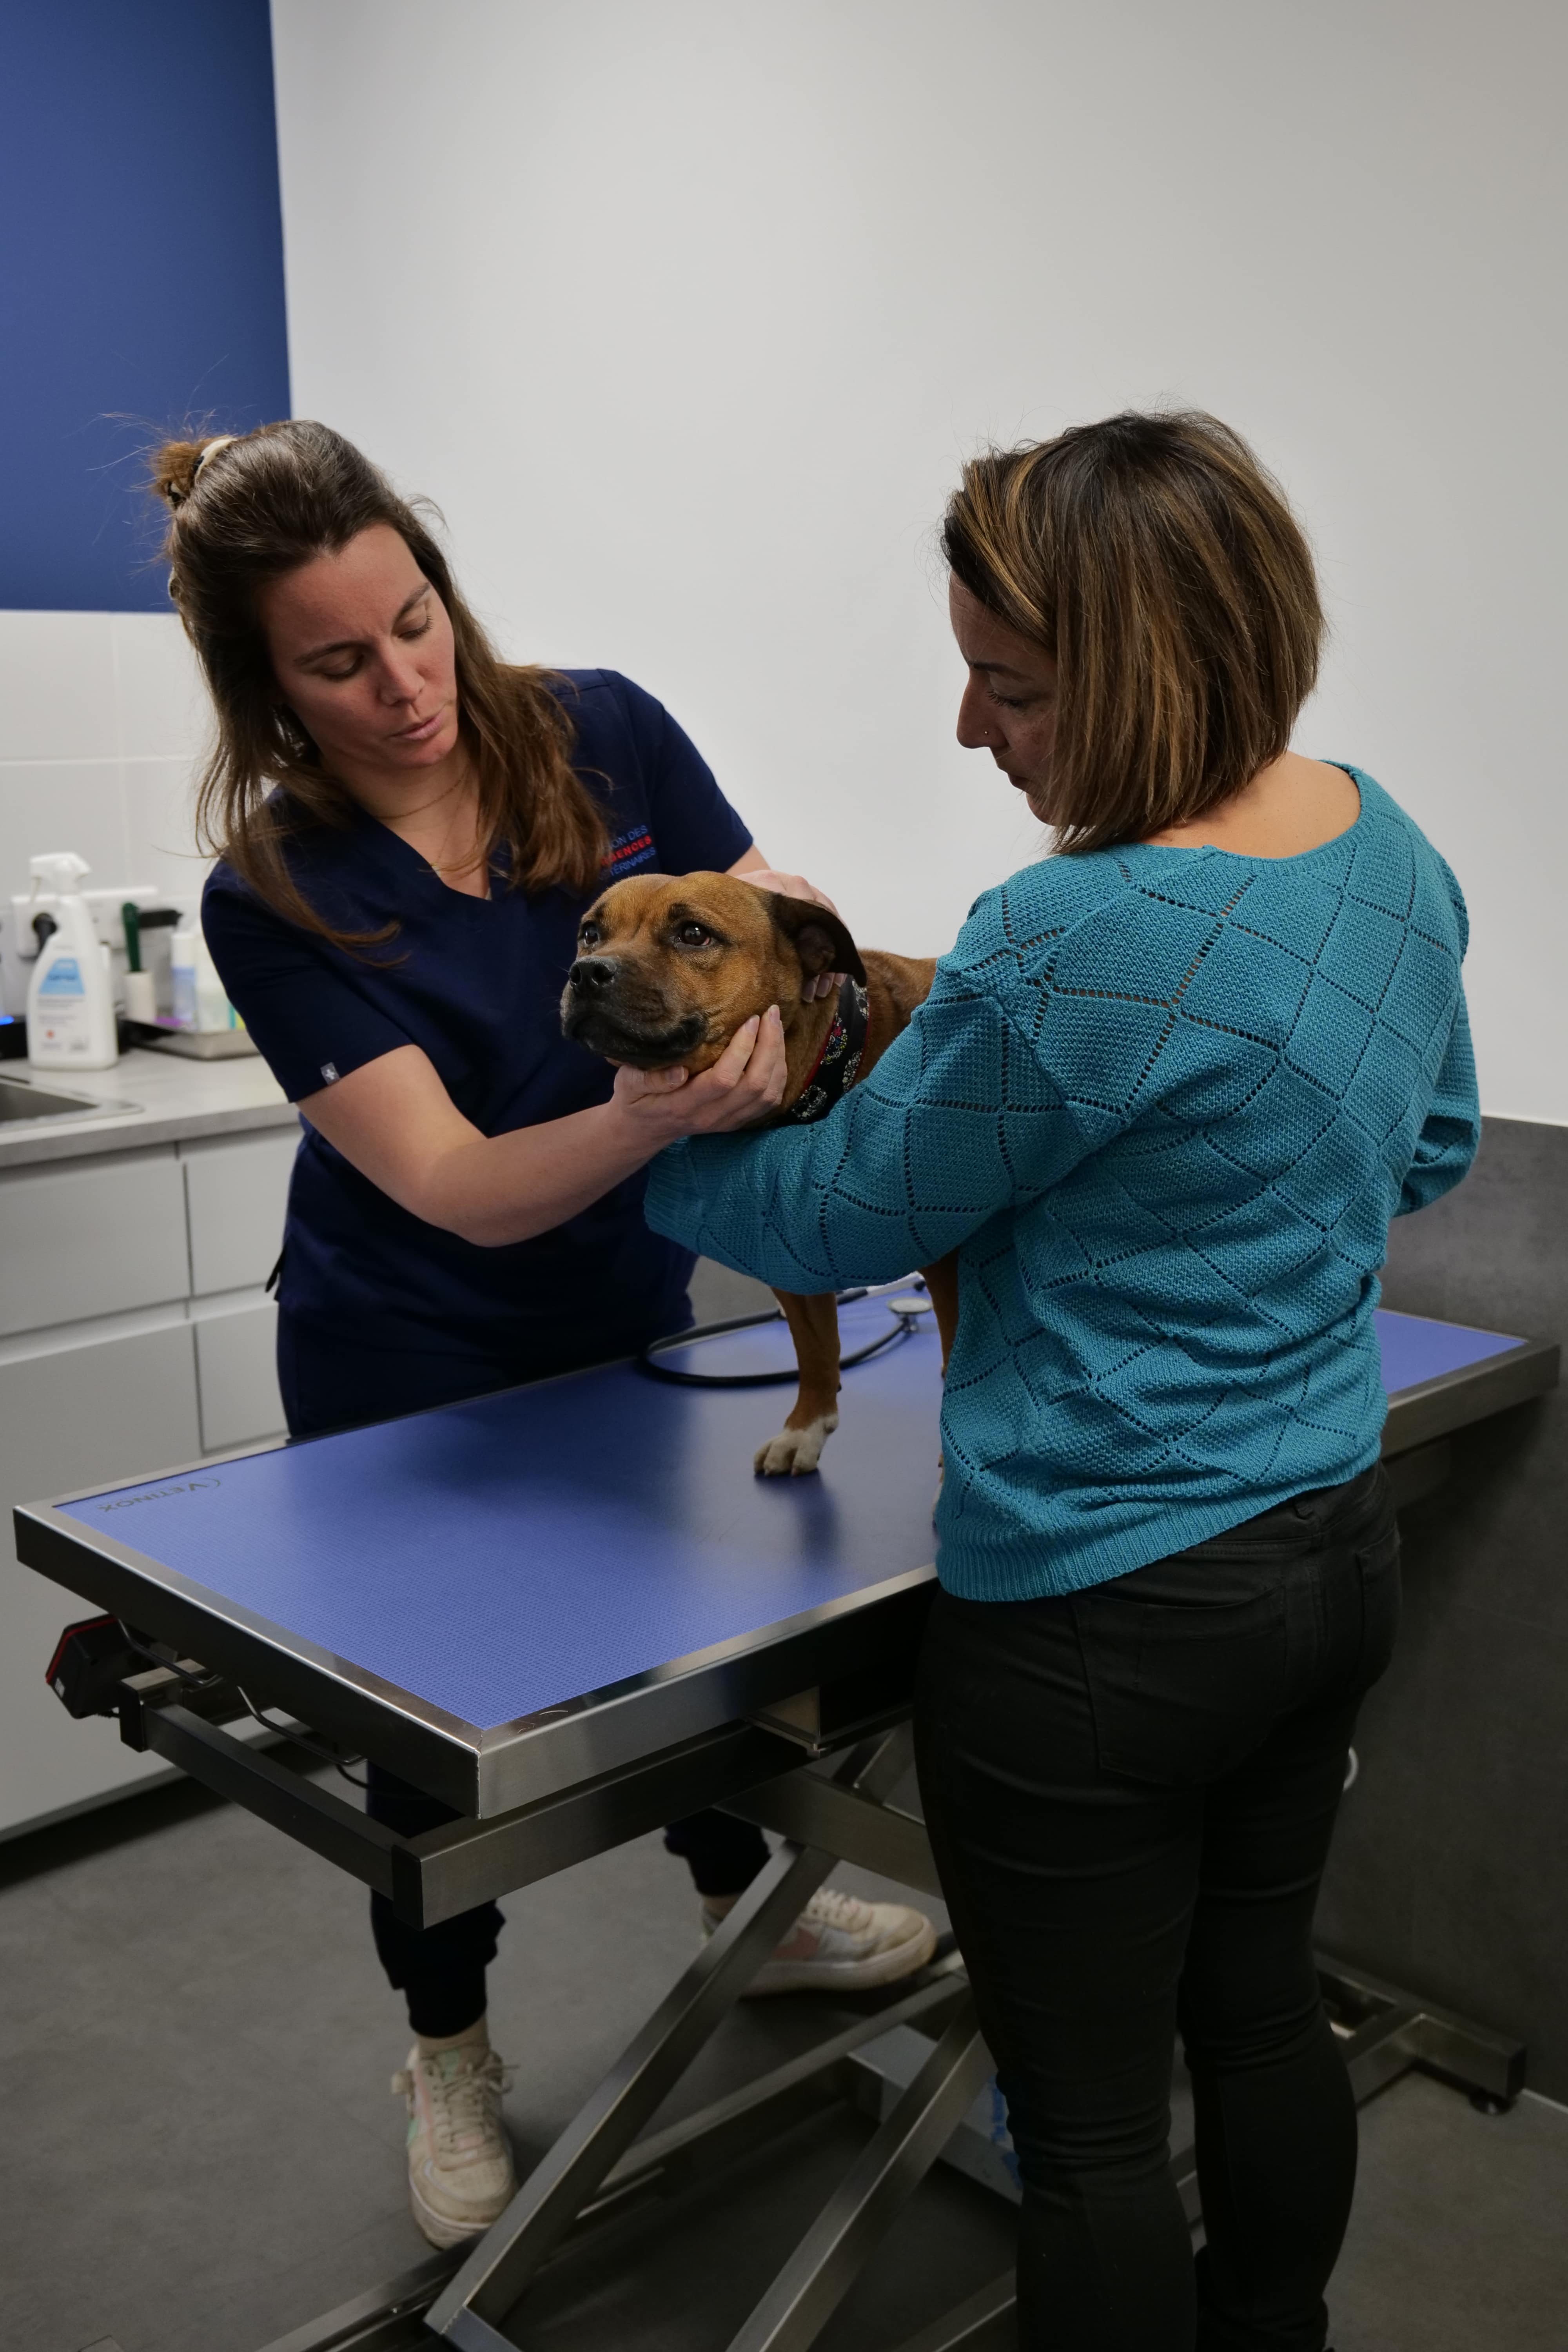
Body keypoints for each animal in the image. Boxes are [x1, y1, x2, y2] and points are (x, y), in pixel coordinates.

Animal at [564, 875, 959, 1477]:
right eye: (591, 933)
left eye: (693, 934)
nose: (587, 972)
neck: (829, 1067)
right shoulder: (789, 1263)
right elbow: (815, 1351)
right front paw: (805, 1430)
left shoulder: (952, 1267)